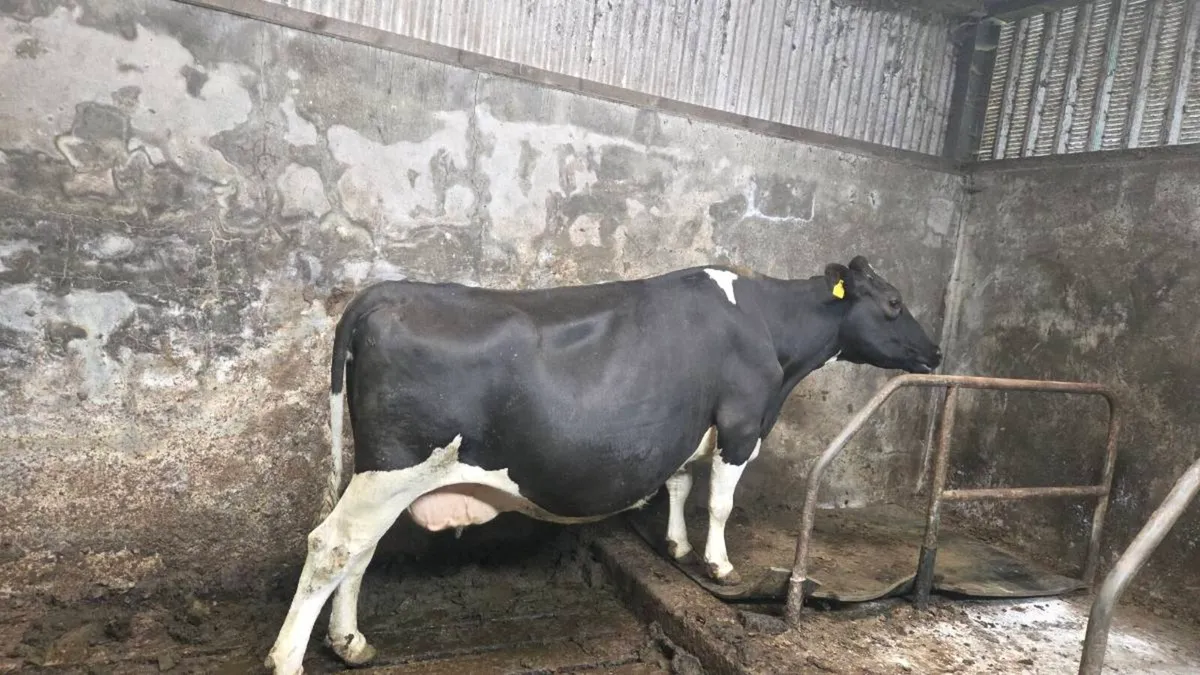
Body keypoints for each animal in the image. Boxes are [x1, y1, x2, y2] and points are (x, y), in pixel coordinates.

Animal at [265, 256, 941, 674]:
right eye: (893, 302)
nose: (936, 353)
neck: (769, 329)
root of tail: (388, 291)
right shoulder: (743, 424)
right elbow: (721, 499)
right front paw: (719, 566)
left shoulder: (684, 427)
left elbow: (679, 482)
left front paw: (675, 546)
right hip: (395, 467)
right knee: (331, 546)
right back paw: (287, 658)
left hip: (381, 473)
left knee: (359, 550)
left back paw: (351, 643)